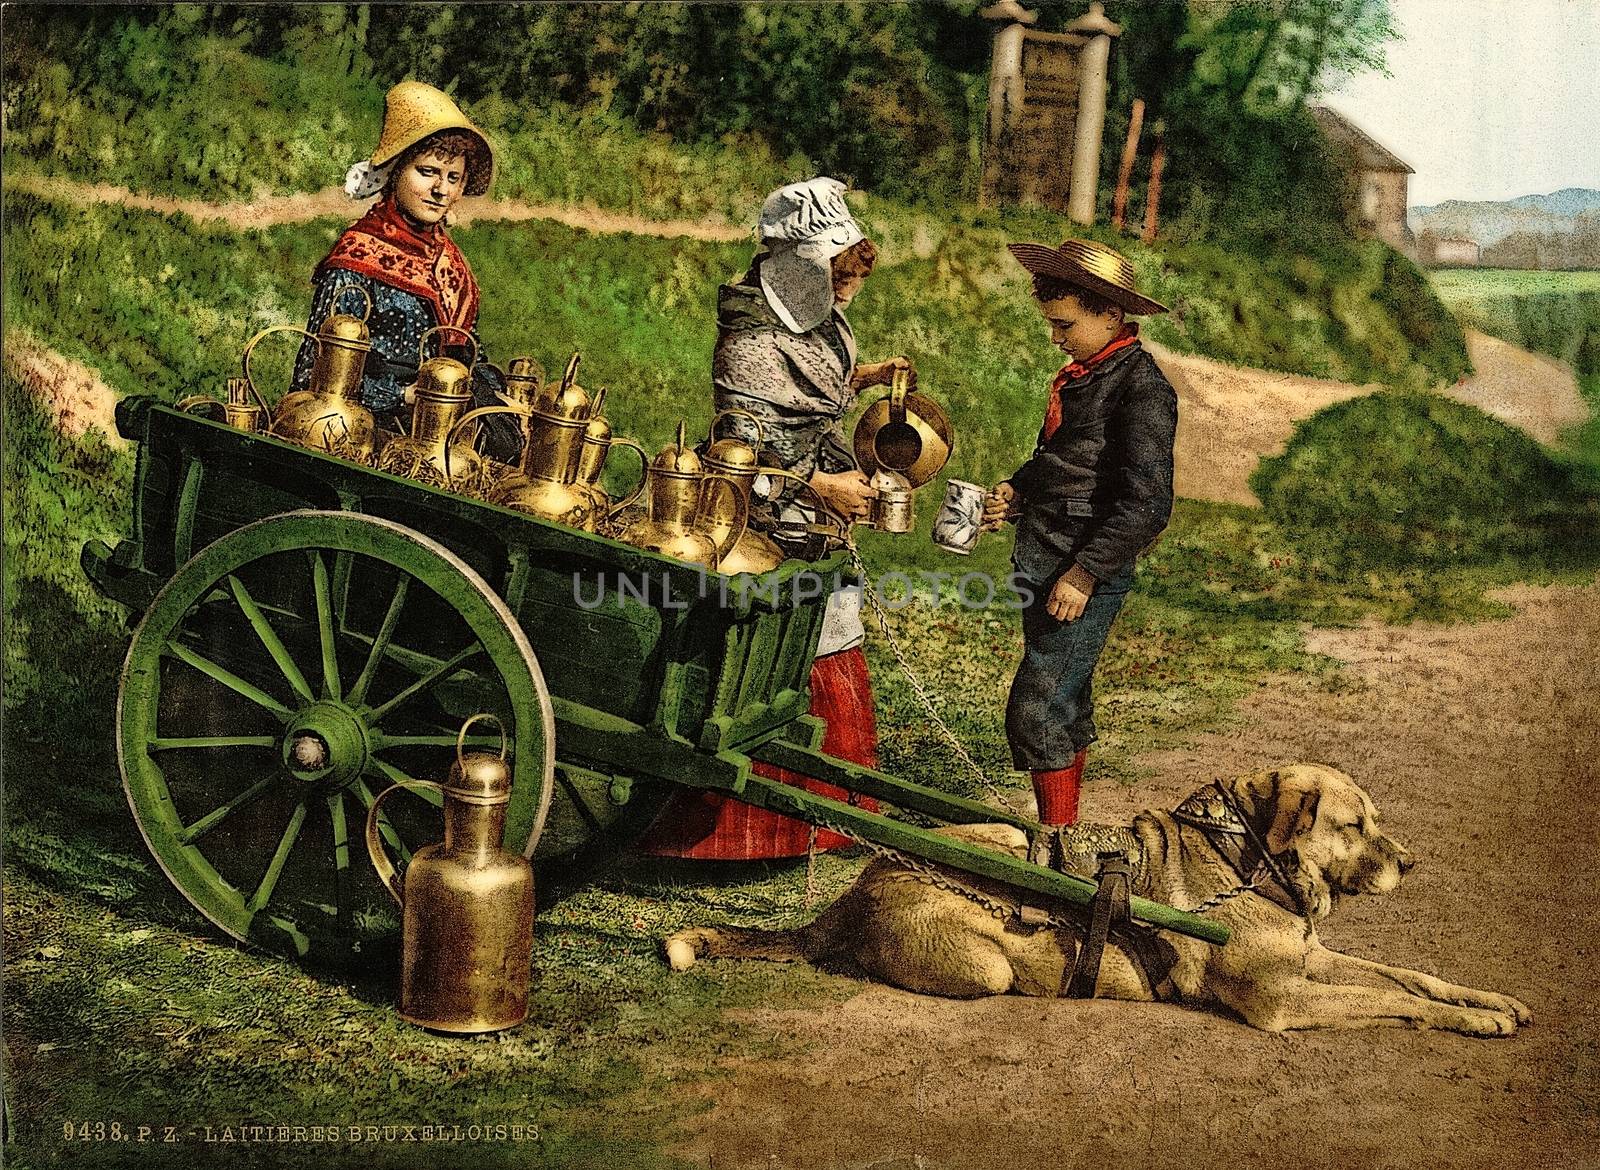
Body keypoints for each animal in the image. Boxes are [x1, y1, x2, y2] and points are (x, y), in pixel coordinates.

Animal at [665, 768, 1536, 1037]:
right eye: (1354, 826)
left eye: (1376, 821)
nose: (1411, 863)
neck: (1247, 860)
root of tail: (856, 889)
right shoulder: (1284, 1000)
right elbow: (1394, 998)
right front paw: (1473, 1021)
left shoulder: (1313, 960)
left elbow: (1411, 979)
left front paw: (1491, 1001)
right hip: (984, 954)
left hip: (1005, 834)